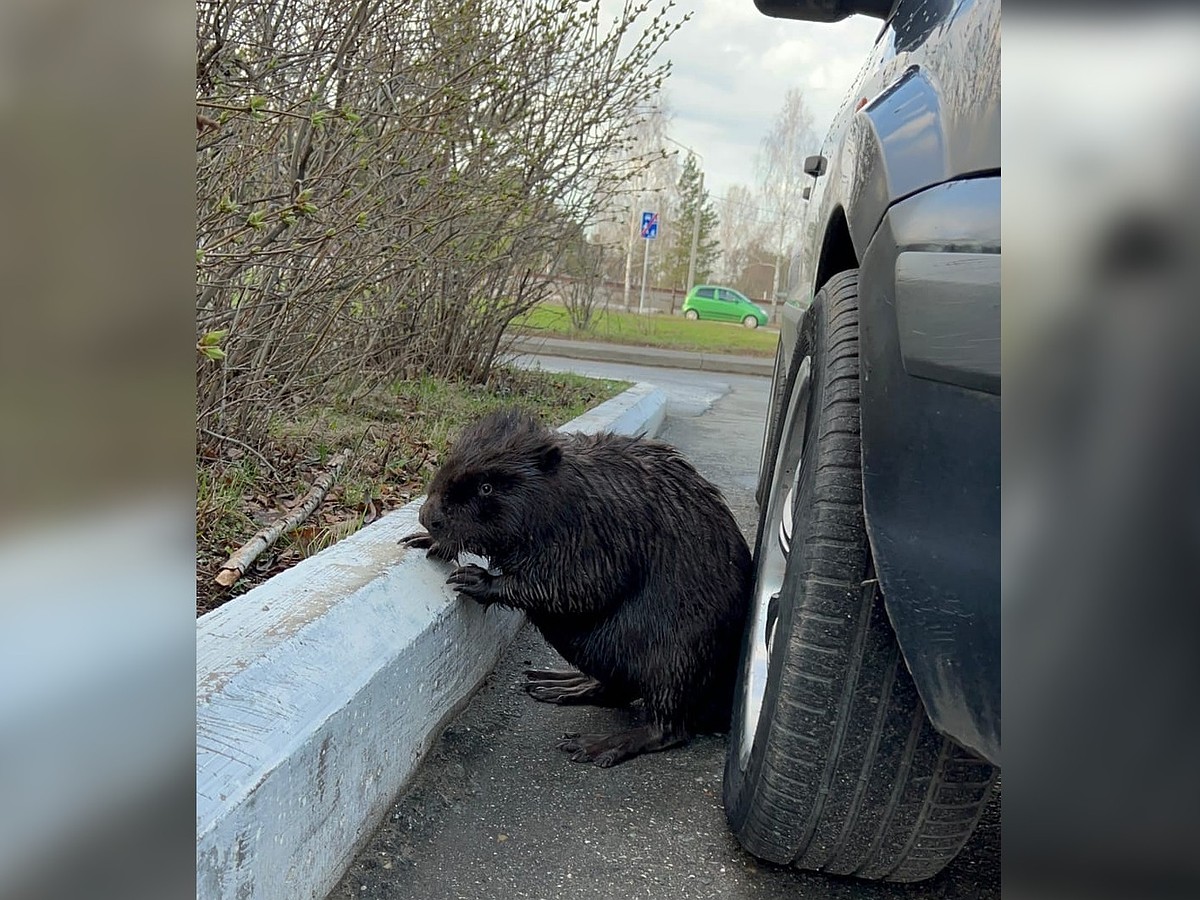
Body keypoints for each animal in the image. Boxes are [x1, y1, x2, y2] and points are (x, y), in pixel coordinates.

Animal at [408, 408, 753, 768]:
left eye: (486, 487)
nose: (427, 516)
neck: (565, 490)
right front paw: (426, 542)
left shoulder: (600, 529)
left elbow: (582, 586)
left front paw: (475, 579)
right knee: (617, 690)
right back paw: (559, 684)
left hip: (678, 658)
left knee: (669, 726)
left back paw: (595, 744)